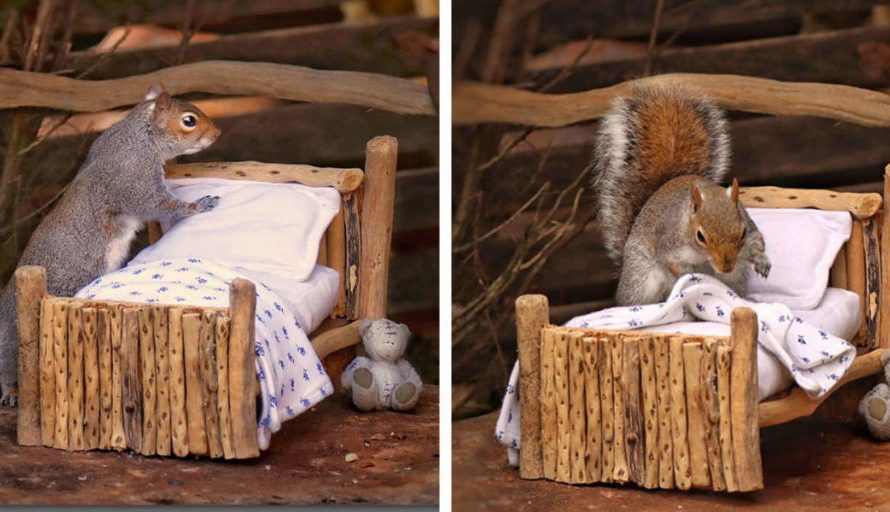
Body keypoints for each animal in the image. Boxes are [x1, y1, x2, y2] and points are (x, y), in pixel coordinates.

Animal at [0, 83, 221, 404]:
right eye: (189, 121)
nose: (217, 133)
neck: (139, 135)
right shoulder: (134, 177)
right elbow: (160, 204)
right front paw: (199, 205)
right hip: (17, 336)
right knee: (9, 366)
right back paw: (12, 391)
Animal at [588, 86, 772, 306]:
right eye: (700, 236)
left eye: (742, 233)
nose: (727, 266)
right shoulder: (669, 242)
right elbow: (673, 263)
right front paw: (692, 274)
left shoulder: (748, 226)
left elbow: (757, 239)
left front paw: (762, 261)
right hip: (641, 277)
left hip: (736, 278)